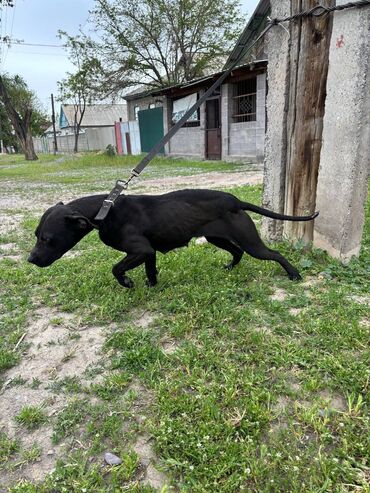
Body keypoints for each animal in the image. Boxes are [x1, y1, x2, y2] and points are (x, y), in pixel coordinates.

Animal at [28, 189, 318, 288]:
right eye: (36, 235)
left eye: (48, 239)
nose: (30, 259)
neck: (105, 210)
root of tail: (235, 201)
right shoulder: (149, 253)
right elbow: (151, 270)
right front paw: (151, 286)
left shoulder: (140, 250)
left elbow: (115, 268)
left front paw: (127, 283)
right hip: (217, 238)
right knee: (237, 253)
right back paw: (229, 268)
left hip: (250, 242)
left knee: (274, 254)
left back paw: (293, 274)